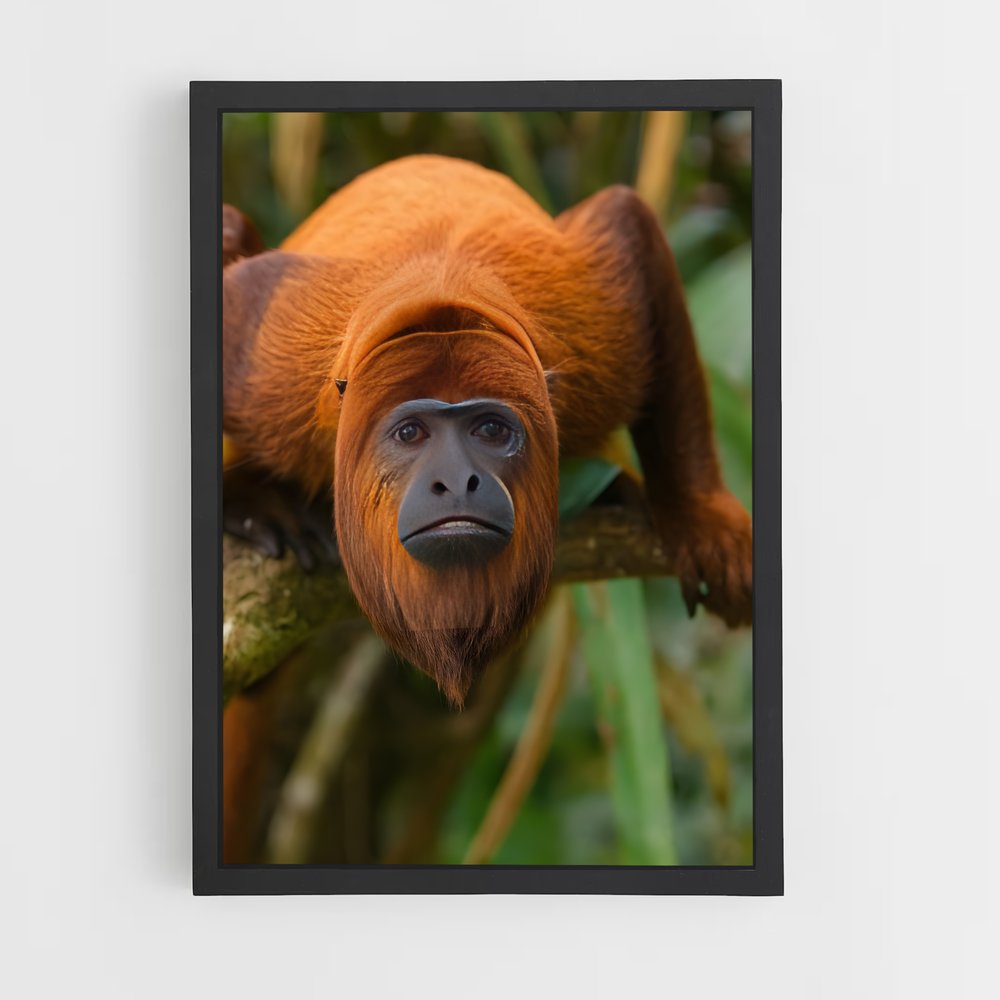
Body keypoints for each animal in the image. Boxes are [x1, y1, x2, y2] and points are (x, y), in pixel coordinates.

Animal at [222, 154, 752, 708]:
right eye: (409, 433)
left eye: (492, 429)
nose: (456, 482)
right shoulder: (274, 364)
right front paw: (245, 500)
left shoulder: (598, 327)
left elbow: (627, 223)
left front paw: (702, 518)